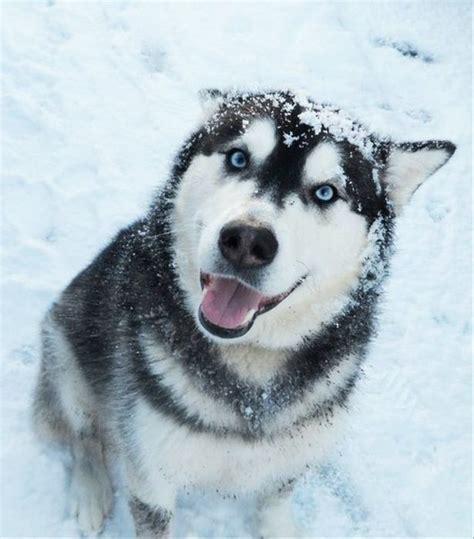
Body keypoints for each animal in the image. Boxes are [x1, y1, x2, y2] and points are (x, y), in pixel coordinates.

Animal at [33, 90, 456, 536]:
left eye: (326, 193)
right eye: (238, 158)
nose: (247, 242)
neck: (252, 361)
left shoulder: (292, 458)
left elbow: (275, 503)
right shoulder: (151, 473)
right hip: (67, 362)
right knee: (84, 436)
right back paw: (90, 492)